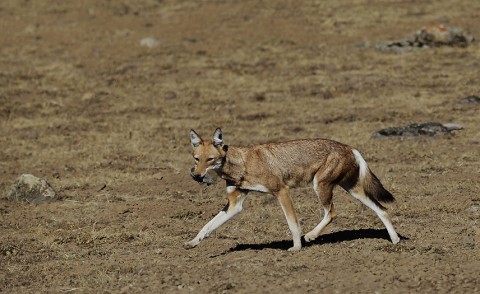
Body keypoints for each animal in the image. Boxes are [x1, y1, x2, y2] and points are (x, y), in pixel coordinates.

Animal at [185, 129, 402, 250]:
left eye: (210, 160)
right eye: (196, 159)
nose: (196, 176)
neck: (243, 164)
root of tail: (349, 147)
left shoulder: (282, 192)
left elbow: (293, 224)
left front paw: (297, 247)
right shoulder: (234, 205)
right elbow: (207, 226)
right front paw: (193, 242)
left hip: (320, 187)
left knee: (331, 213)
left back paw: (312, 235)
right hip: (353, 191)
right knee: (383, 210)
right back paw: (395, 240)